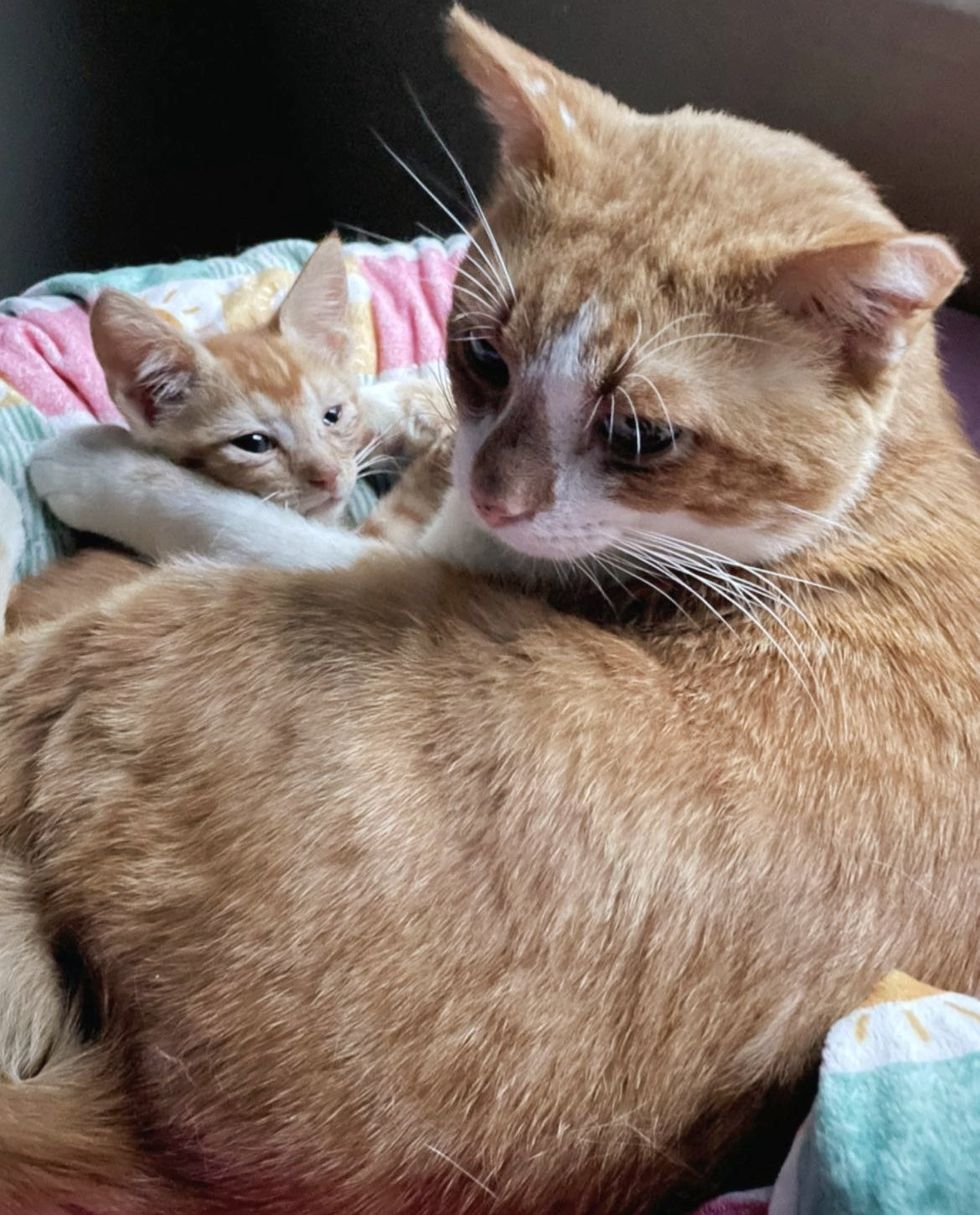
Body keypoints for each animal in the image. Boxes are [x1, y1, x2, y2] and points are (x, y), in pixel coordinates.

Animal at [1, 9, 980, 1215]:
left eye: (641, 436)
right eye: (482, 354)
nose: (497, 495)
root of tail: (168, 1148)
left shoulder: (391, 555)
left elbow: (228, 507)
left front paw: (93, 458)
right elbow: (386, 408)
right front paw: (370, 401)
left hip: (149, 634)